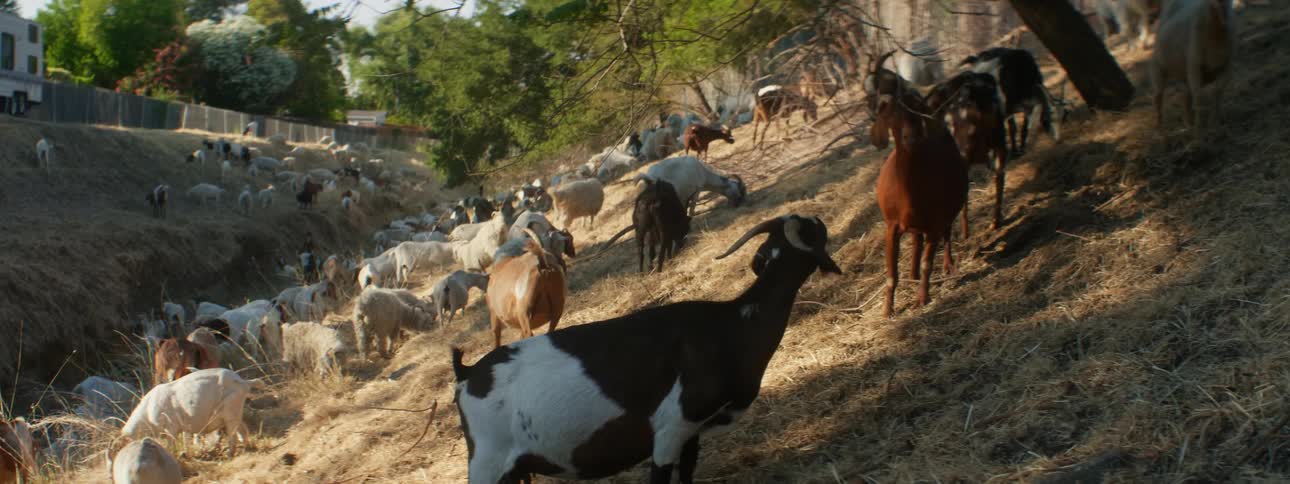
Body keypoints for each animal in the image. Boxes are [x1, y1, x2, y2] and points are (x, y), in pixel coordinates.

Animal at [451, 215, 840, 484]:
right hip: (487, 462)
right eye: (811, 230)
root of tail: (467, 374)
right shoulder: (670, 430)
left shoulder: (692, 434)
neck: (732, 324)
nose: (820, 220)